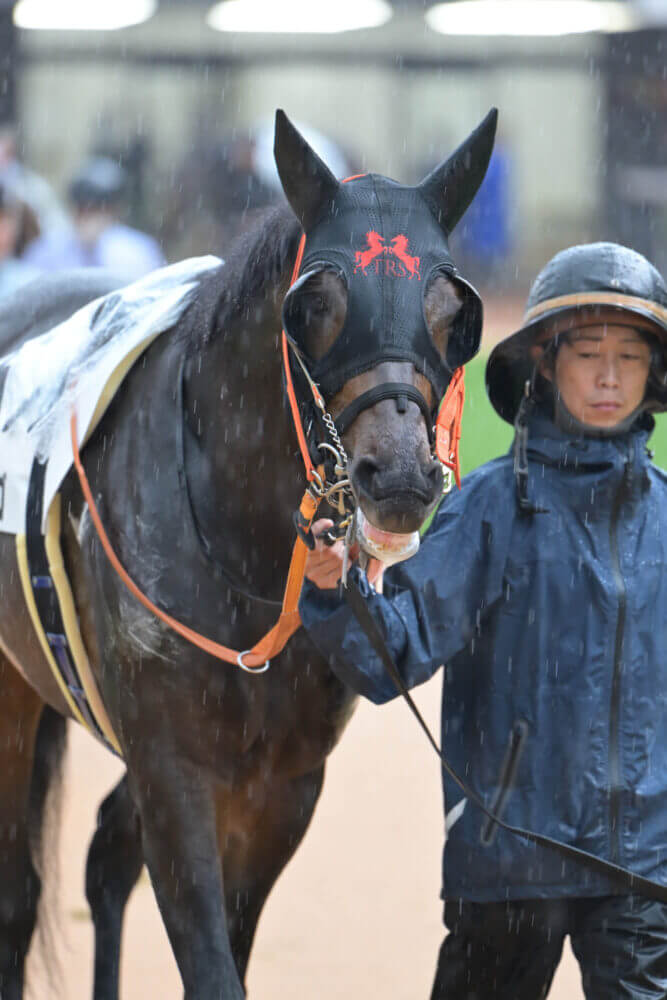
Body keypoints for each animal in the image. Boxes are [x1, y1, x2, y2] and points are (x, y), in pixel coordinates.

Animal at [0, 111, 496, 1000]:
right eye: (318, 303)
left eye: (451, 311)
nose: (401, 474)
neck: (248, 554)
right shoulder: (174, 767)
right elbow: (208, 963)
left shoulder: (280, 785)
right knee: (20, 894)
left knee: (103, 858)